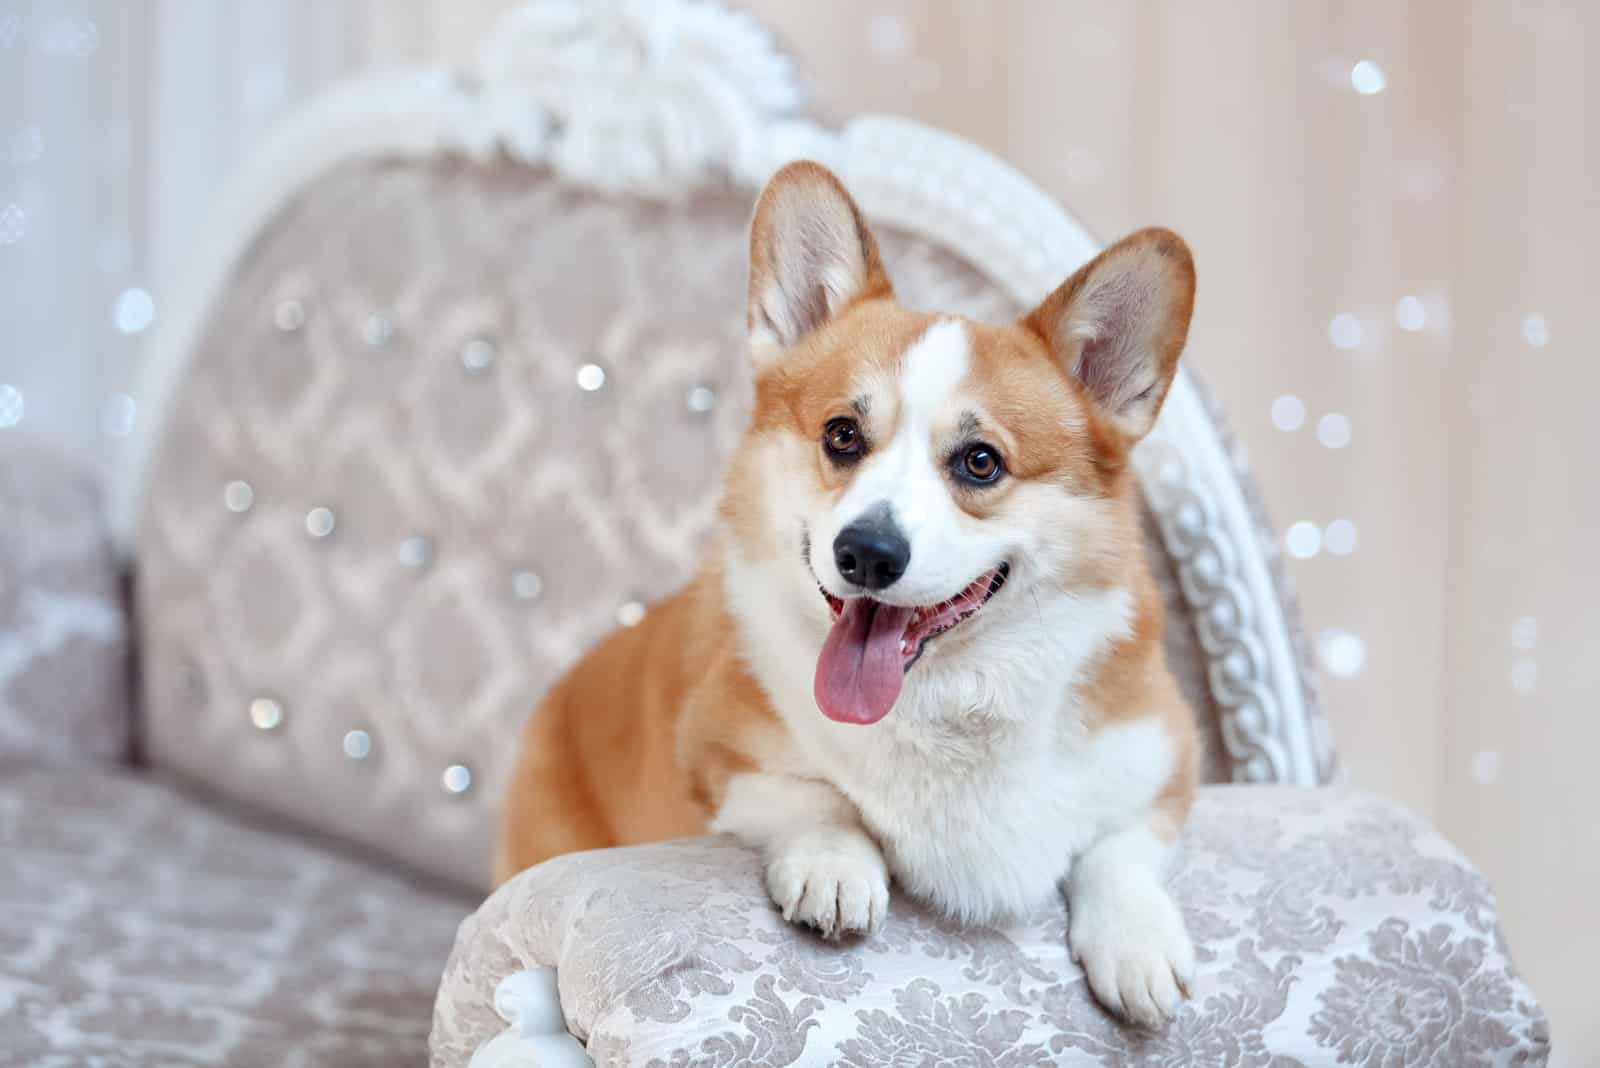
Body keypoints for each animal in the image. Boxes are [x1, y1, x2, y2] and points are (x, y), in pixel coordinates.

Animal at [499, 158, 1203, 1023]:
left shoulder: (1167, 758)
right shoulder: (719, 753)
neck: (946, 705)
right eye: (842, 435)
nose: (866, 553)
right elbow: (815, 797)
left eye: (980, 462)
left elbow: (1119, 845)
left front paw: (1137, 944)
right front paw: (835, 868)